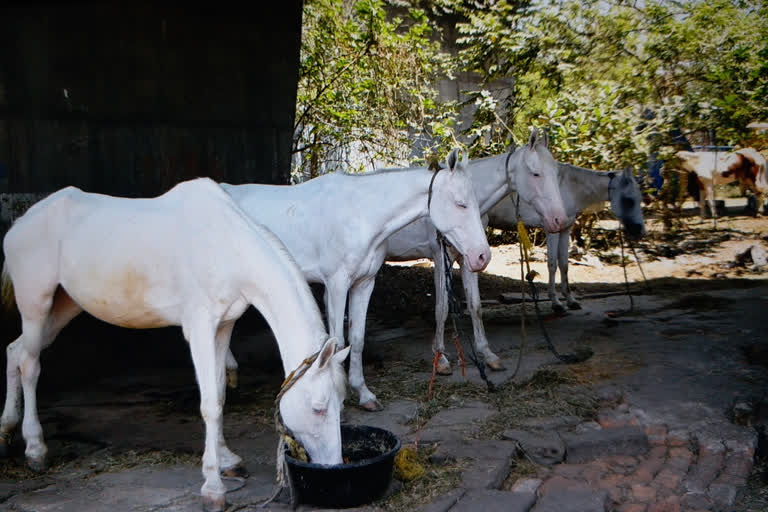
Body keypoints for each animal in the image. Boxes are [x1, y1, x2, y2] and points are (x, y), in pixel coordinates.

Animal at [0, 177, 352, 512]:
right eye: (319, 408)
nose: (334, 467)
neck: (227, 245)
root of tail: (20, 225)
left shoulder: (223, 327)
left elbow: (220, 395)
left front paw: (227, 460)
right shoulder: (199, 328)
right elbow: (209, 405)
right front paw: (213, 488)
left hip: (64, 305)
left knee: (14, 352)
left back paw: (6, 432)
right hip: (36, 305)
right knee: (30, 364)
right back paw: (35, 450)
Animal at [222, 148, 492, 412]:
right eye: (460, 204)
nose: (482, 256)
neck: (360, 215)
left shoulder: (365, 283)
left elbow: (357, 338)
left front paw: (363, 393)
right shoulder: (336, 285)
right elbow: (338, 342)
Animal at [384, 130, 568, 374]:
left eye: (555, 173)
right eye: (536, 173)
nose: (559, 220)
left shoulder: (470, 259)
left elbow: (475, 306)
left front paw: (487, 354)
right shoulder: (441, 259)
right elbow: (442, 308)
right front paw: (440, 358)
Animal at [488, 166, 644, 314]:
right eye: (629, 200)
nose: (640, 230)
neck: (568, 187)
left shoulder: (565, 230)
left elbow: (564, 265)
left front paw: (570, 300)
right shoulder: (552, 231)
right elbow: (552, 265)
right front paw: (556, 303)